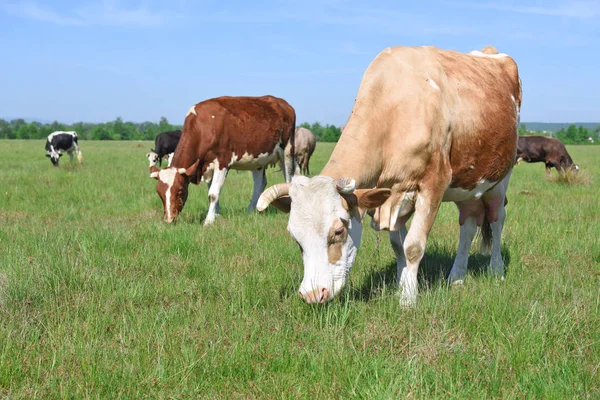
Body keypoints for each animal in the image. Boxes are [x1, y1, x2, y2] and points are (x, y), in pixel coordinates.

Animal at [150, 94, 296, 225]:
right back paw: (250, 211)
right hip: (258, 159)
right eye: (159, 192)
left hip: (287, 151)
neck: (204, 127)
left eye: (180, 191)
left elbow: (213, 193)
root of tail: (283, 103)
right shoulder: (207, 166)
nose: (169, 220)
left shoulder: (222, 161)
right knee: (260, 183)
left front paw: (208, 221)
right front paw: (217, 214)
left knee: (288, 180)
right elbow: (212, 191)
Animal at [258, 44, 520, 306]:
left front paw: (408, 300)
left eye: (339, 231)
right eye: (295, 237)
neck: (394, 108)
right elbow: (398, 247)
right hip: (466, 184)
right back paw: (456, 277)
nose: (312, 294)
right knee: (468, 223)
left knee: (497, 219)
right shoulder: (391, 195)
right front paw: (402, 286)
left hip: (500, 178)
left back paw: (496, 270)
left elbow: (413, 247)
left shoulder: (433, 185)